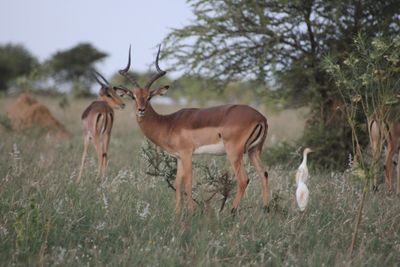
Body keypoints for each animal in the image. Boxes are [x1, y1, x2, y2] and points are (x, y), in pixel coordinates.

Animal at [119, 45, 268, 214]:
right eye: (133, 96)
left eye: (149, 96)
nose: (141, 110)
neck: (168, 123)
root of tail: (260, 118)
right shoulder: (178, 157)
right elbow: (178, 183)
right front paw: (177, 213)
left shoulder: (187, 154)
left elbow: (188, 182)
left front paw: (191, 212)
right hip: (254, 151)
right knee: (264, 174)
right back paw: (266, 210)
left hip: (234, 153)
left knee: (243, 179)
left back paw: (231, 212)